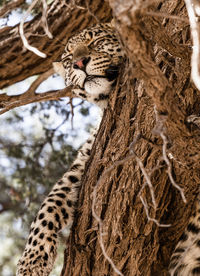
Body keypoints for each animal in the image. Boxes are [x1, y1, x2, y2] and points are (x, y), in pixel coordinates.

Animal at [16, 22, 123, 276]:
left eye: (97, 41)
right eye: (67, 59)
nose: (80, 63)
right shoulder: (82, 164)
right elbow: (47, 206)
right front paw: (31, 261)